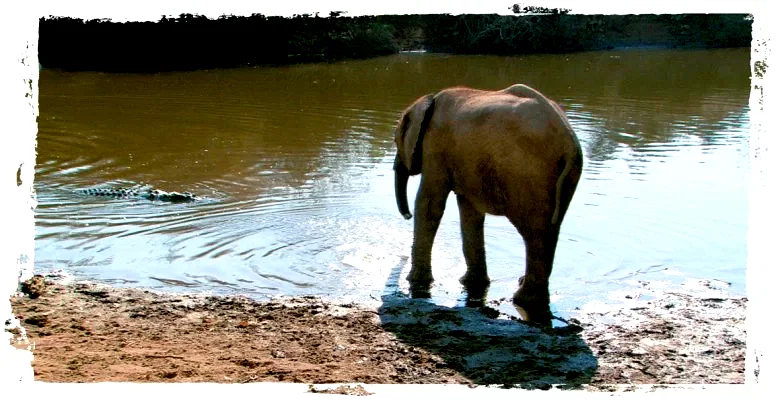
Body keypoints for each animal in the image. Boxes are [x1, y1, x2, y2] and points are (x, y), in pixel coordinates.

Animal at [393, 84, 583, 325]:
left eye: (395, 141)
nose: (405, 216)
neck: (428, 100)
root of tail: (570, 142)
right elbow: (469, 211)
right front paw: (470, 283)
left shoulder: (435, 146)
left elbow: (429, 204)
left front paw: (416, 282)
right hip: (562, 178)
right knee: (550, 231)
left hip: (530, 175)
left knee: (536, 235)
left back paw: (522, 300)